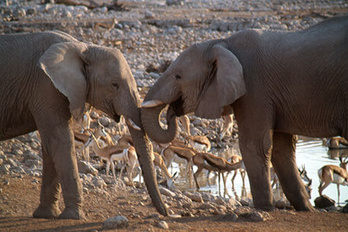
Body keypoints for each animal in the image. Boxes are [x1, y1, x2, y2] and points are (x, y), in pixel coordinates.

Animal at [0, 31, 169, 219]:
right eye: (114, 85)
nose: (166, 212)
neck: (84, 48)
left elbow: (50, 146)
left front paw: (46, 214)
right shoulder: (45, 87)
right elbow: (60, 142)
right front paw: (73, 216)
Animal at [141, 15, 348, 212]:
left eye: (178, 76)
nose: (172, 111)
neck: (221, 43)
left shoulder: (257, 90)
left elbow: (271, 147)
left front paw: (301, 209)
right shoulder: (261, 96)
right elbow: (267, 147)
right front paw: (269, 209)